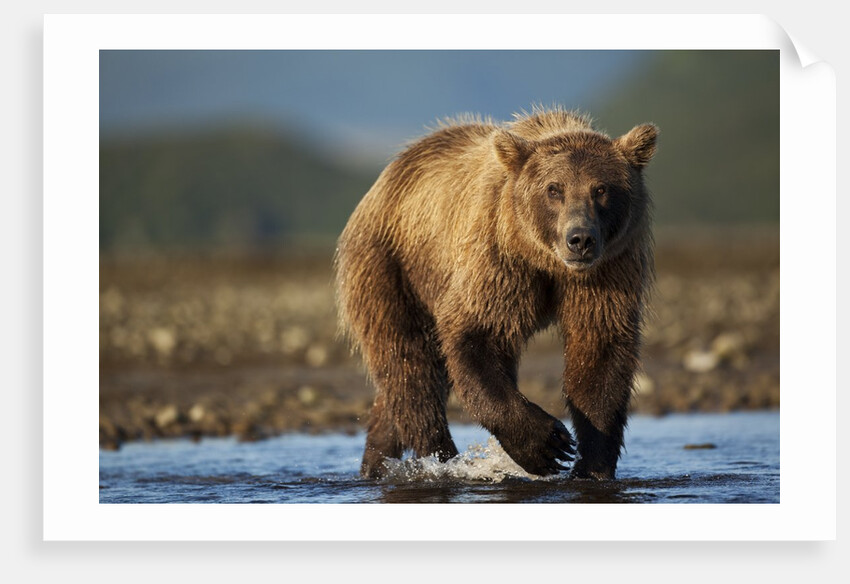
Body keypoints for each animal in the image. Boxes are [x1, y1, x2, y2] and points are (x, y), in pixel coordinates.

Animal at [334, 106, 658, 480]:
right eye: (554, 189)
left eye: (601, 189)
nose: (580, 239)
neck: (547, 262)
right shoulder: (498, 258)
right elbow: (478, 334)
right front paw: (546, 444)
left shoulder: (608, 270)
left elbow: (598, 350)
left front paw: (591, 466)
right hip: (391, 267)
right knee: (409, 364)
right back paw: (440, 455)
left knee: (400, 385)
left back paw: (376, 461)